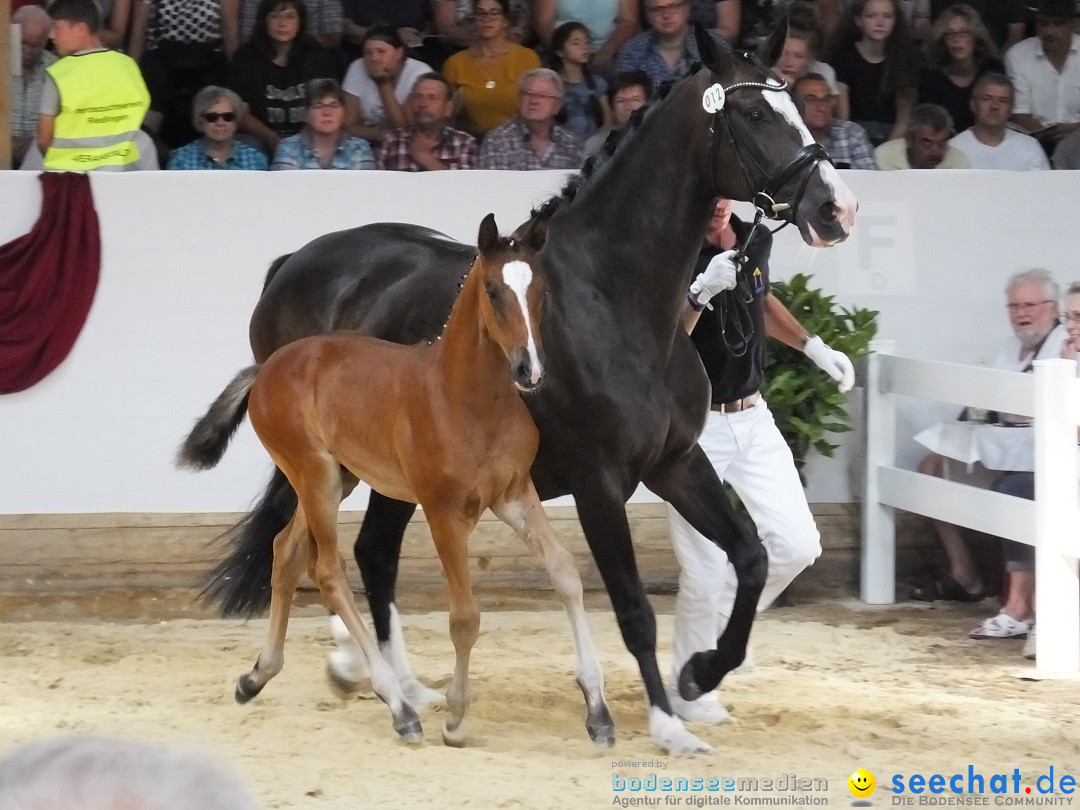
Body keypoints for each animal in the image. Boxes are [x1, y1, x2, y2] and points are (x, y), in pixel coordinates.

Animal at [181, 216, 613, 747]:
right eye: (492, 290)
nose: (529, 370)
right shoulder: (443, 511)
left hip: (333, 480)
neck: (467, 399)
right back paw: (399, 705)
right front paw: (455, 718)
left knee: (286, 550)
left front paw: (598, 712)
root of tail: (268, 367)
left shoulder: (515, 495)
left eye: (542, 291)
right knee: (327, 570)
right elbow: (465, 616)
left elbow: (565, 572)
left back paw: (256, 676)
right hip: (315, 477)